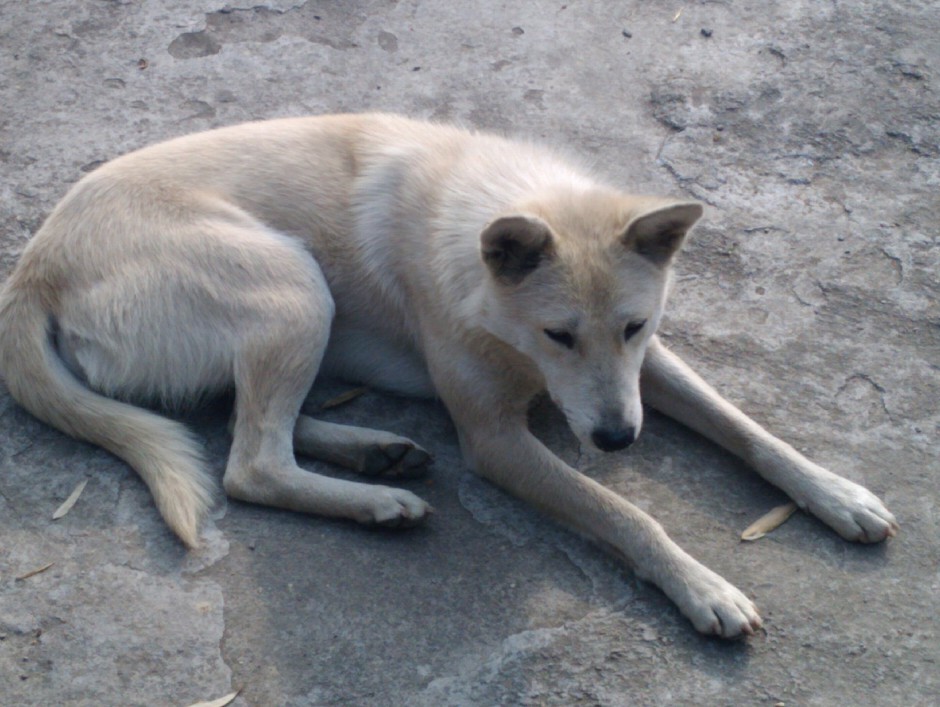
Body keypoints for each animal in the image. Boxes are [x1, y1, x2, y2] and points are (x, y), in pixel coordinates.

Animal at [0, 115, 896, 636]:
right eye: (558, 334)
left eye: (634, 326)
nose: (618, 440)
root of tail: (33, 268)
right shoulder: (496, 440)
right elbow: (625, 513)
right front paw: (701, 583)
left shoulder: (649, 366)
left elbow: (748, 429)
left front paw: (836, 492)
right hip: (292, 284)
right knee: (250, 462)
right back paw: (377, 499)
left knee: (244, 420)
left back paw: (376, 451)